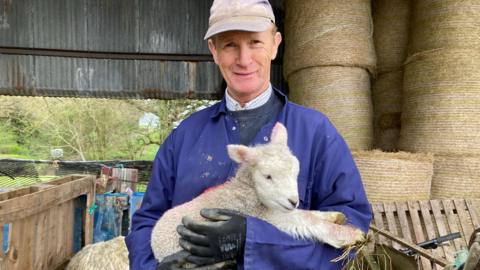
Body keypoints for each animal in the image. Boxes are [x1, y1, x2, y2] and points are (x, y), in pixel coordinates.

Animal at [153, 122, 364, 262]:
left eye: (296, 172)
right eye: (267, 176)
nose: (293, 201)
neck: (247, 192)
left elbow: (307, 213)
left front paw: (334, 216)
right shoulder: (268, 216)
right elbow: (305, 221)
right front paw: (349, 234)